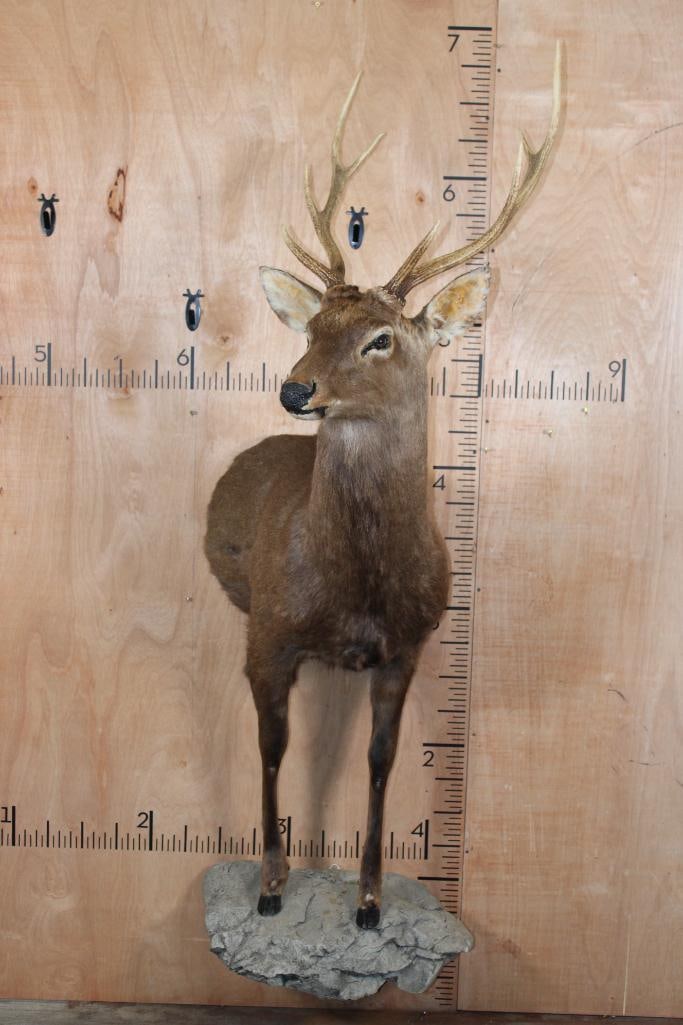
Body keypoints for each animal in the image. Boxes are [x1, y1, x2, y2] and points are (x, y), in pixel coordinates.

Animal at [205, 48, 560, 928]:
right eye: (310, 326)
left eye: (380, 338)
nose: (295, 388)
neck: (352, 587)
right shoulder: (267, 633)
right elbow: (271, 750)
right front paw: (270, 885)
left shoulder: (407, 646)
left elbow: (379, 760)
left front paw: (367, 900)